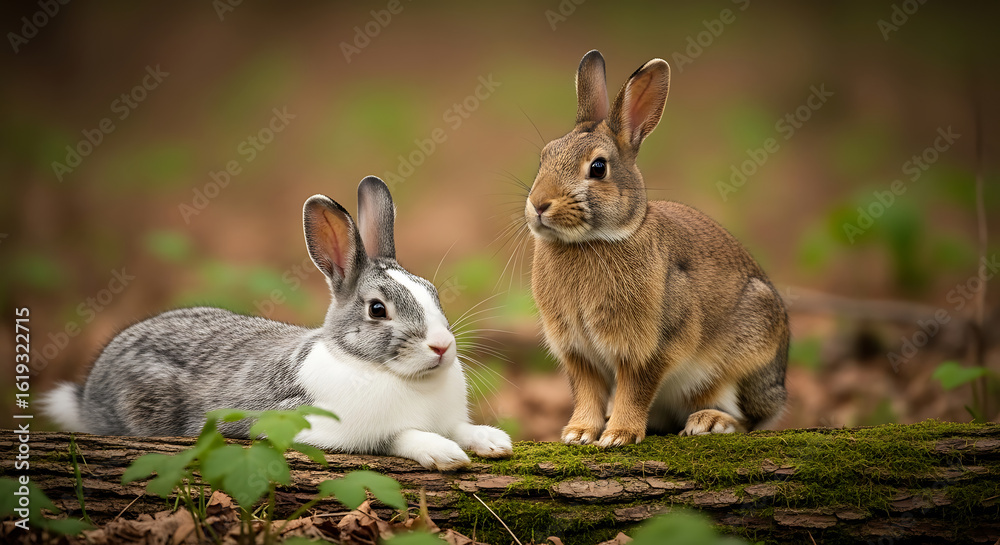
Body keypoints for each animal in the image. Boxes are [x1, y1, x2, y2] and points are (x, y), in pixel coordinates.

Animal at [42, 176, 512, 471]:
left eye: (433, 292)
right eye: (378, 310)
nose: (442, 347)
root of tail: (88, 392)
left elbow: (459, 427)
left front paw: (492, 441)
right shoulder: (318, 426)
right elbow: (394, 437)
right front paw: (443, 453)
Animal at [525, 50, 788, 447]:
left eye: (598, 168)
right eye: (543, 157)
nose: (539, 205)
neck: (593, 241)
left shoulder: (652, 347)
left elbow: (634, 391)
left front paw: (618, 435)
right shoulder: (577, 352)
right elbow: (587, 391)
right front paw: (579, 433)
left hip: (748, 356)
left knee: (750, 418)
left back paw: (710, 422)